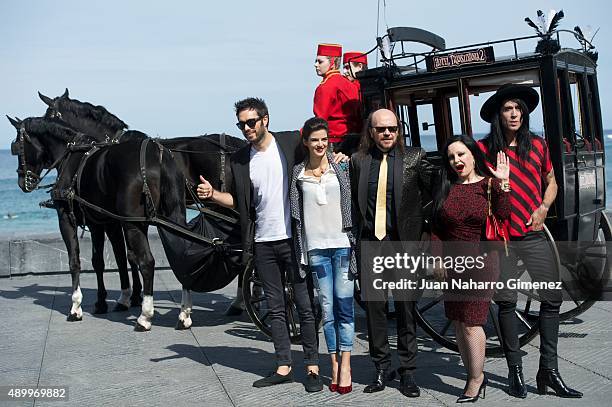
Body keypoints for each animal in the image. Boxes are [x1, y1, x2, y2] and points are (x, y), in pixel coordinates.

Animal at [8, 115, 186, 332]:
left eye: (17, 147)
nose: (22, 182)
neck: (71, 156)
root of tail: (157, 153)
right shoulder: (102, 223)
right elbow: (105, 260)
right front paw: (107, 301)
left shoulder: (66, 219)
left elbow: (75, 261)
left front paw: (76, 307)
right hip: (171, 216)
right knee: (182, 256)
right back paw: (184, 314)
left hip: (133, 225)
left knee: (147, 262)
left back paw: (145, 316)